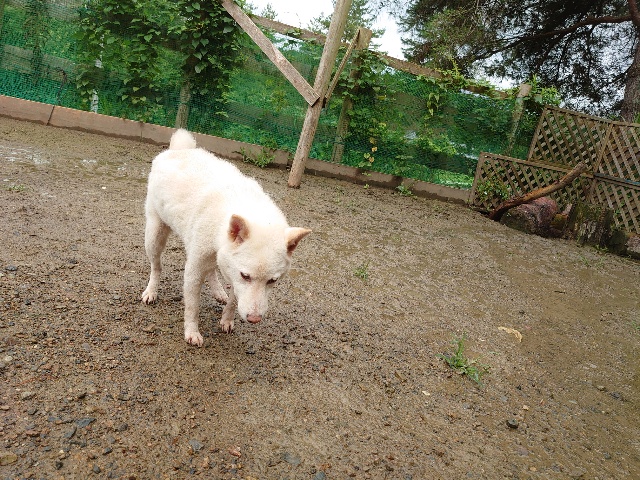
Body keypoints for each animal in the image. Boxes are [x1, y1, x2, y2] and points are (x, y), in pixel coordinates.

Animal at [141, 129, 311, 346]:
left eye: (273, 281)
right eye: (246, 276)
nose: (254, 319)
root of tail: (179, 149)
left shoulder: (231, 270)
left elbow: (233, 301)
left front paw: (227, 320)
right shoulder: (196, 270)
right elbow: (193, 306)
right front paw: (192, 332)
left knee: (212, 270)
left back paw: (218, 291)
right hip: (155, 235)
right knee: (156, 266)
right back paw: (151, 292)